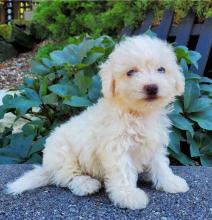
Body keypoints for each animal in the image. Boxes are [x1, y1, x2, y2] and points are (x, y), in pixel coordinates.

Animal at [6, 35, 189, 210]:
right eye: (130, 72)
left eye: (161, 69)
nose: (151, 87)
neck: (137, 113)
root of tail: (47, 167)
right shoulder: (117, 147)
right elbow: (123, 172)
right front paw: (128, 195)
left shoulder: (155, 144)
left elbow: (160, 164)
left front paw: (171, 182)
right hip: (63, 155)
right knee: (66, 176)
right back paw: (86, 184)